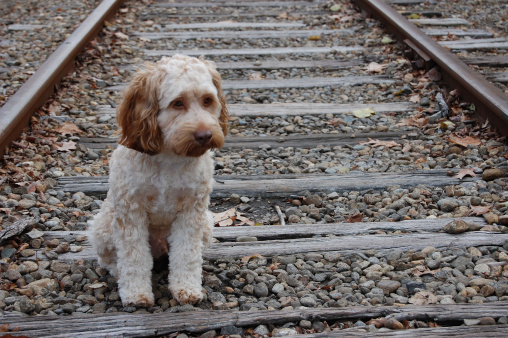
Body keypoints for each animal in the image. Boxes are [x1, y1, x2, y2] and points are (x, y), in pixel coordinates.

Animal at [89, 54, 228, 306]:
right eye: (177, 103)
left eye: (207, 100)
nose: (205, 135)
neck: (169, 158)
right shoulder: (130, 213)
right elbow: (133, 258)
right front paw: (136, 294)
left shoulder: (192, 212)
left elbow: (187, 255)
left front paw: (187, 289)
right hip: (102, 227)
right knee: (110, 261)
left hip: (207, 224)